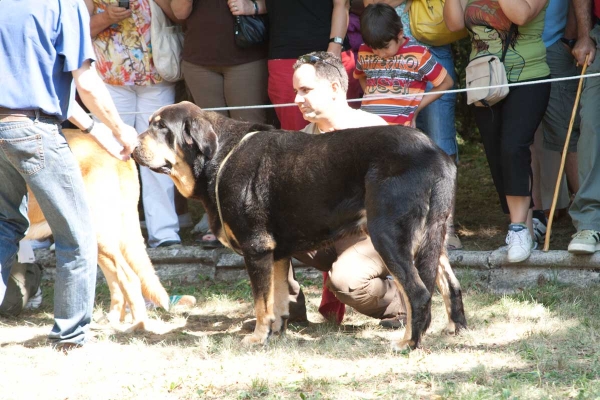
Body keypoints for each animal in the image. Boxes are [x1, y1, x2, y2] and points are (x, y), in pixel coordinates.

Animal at [134, 101, 466, 348]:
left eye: (161, 127)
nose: (132, 145)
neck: (221, 156)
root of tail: (435, 154)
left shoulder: (256, 248)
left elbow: (261, 302)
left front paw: (257, 338)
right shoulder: (277, 253)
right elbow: (277, 299)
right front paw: (276, 333)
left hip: (388, 235)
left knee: (417, 293)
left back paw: (408, 343)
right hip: (432, 236)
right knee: (451, 284)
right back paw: (455, 330)